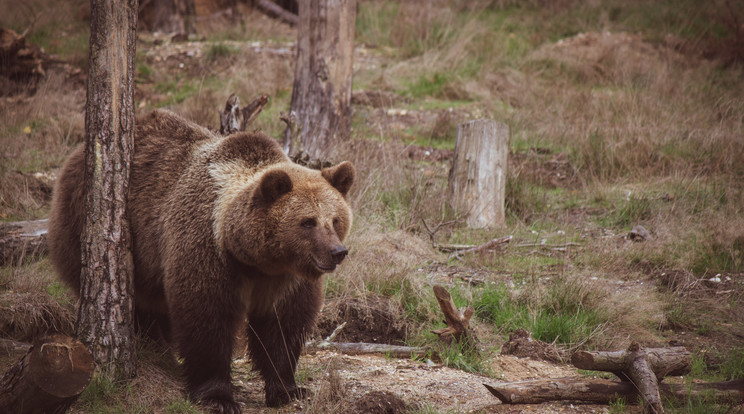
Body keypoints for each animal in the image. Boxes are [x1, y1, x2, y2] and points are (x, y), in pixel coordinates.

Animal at [48, 109, 356, 410]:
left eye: (335, 219)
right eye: (308, 222)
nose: (337, 252)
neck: (255, 260)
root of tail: (75, 156)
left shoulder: (286, 279)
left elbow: (283, 326)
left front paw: (288, 389)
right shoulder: (207, 251)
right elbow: (206, 318)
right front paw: (217, 396)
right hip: (92, 227)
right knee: (141, 304)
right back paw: (155, 347)